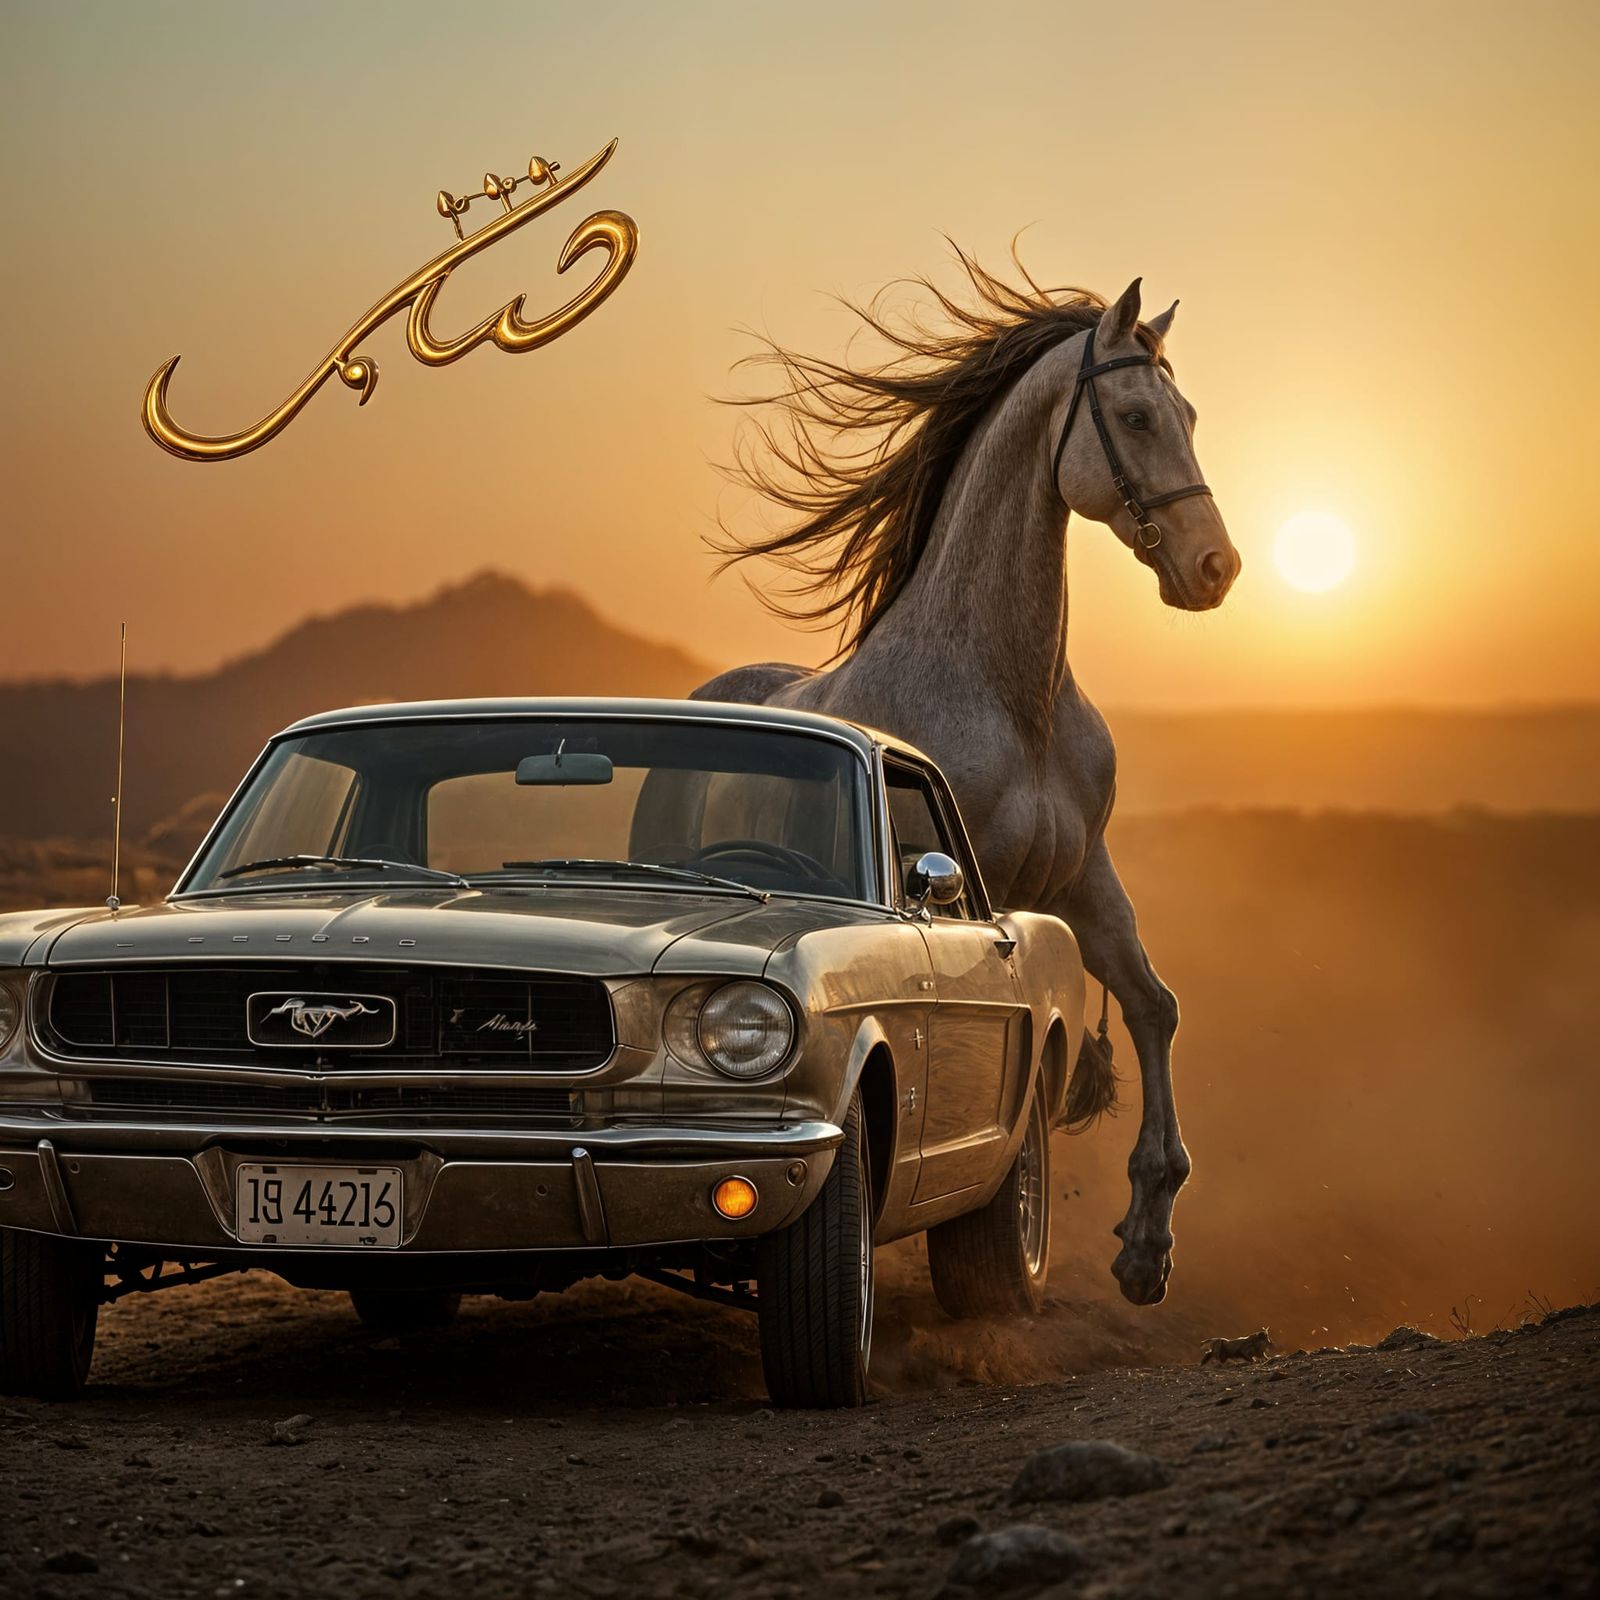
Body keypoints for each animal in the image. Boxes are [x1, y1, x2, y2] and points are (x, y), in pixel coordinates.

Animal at [693, 257, 1241, 1305]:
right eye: (1138, 417)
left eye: (1188, 413)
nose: (1214, 567)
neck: (1006, 696)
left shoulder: (1080, 875)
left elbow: (1153, 1006)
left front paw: (1148, 1239)